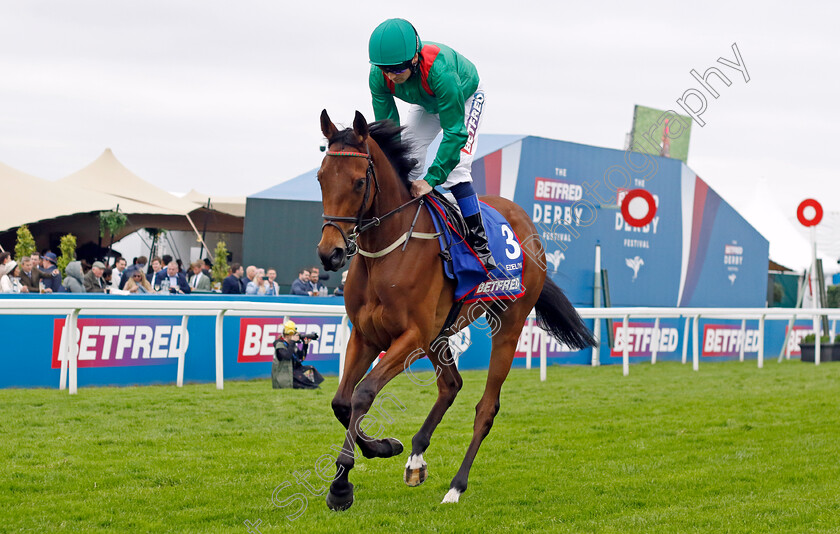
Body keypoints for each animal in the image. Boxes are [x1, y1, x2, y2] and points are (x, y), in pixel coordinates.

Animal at [316, 111, 596, 512]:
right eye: (321, 177)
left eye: (358, 182)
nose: (331, 253)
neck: (387, 252)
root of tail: (526, 223)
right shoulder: (366, 335)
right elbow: (341, 401)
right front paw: (383, 448)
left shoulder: (412, 337)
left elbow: (363, 393)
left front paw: (341, 485)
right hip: (440, 333)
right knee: (451, 385)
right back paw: (416, 458)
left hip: (506, 326)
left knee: (486, 407)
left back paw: (456, 486)